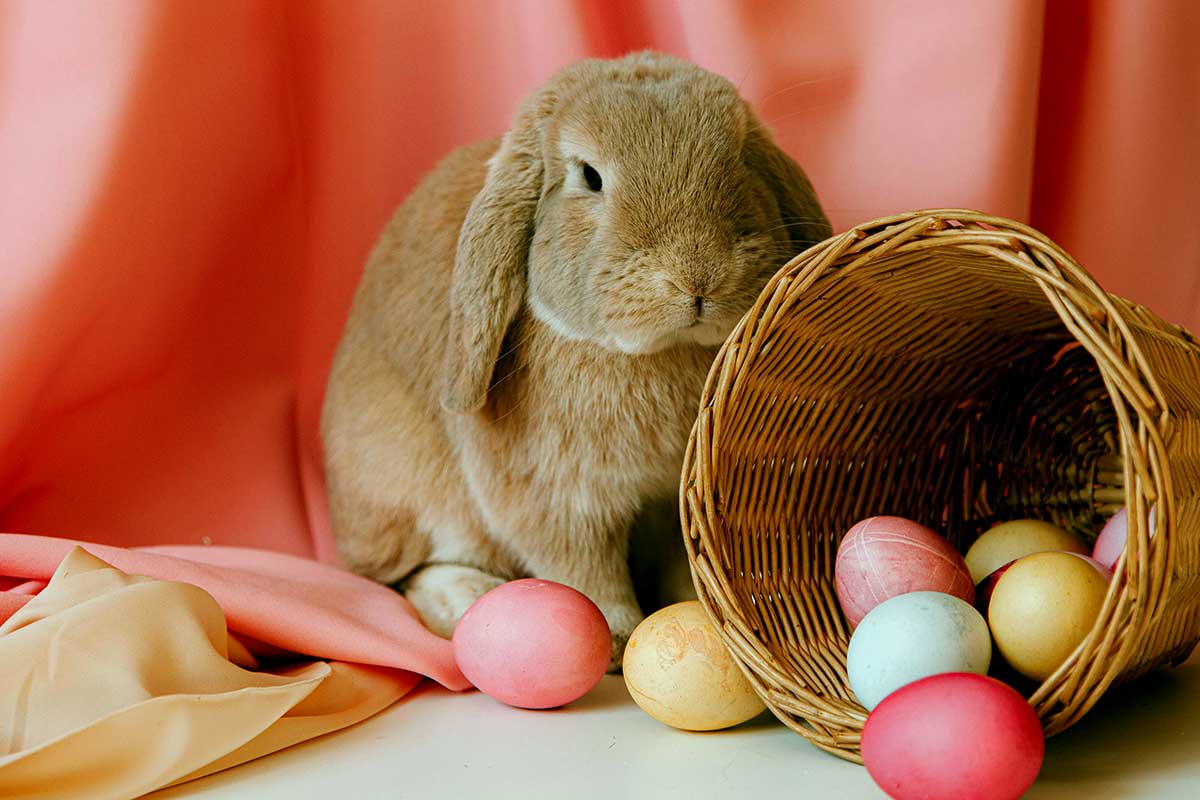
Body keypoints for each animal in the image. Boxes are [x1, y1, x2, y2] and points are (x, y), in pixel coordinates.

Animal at [321, 51, 830, 670]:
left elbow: (681, 563)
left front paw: (703, 613)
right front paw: (615, 637)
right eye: (589, 176)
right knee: (409, 574)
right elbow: (584, 570)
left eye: (739, 156)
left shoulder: (674, 504)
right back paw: (467, 597)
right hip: (409, 496)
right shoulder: (561, 499)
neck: (657, 352)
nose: (696, 278)